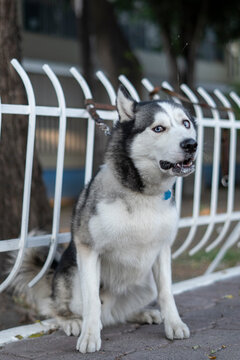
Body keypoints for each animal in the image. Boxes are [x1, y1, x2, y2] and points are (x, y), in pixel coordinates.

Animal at [10, 85, 198, 354]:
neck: (142, 194)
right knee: (57, 307)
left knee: (116, 315)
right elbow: (91, 301)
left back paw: (142, 314)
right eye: (158, 128)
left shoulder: (162, 249)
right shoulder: (88, 249)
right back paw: (72, 322)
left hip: (145, 281)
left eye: (186, 123)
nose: (191, 144)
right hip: (71, 277)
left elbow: (167, 293)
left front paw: (174, 324)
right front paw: (89, 336)